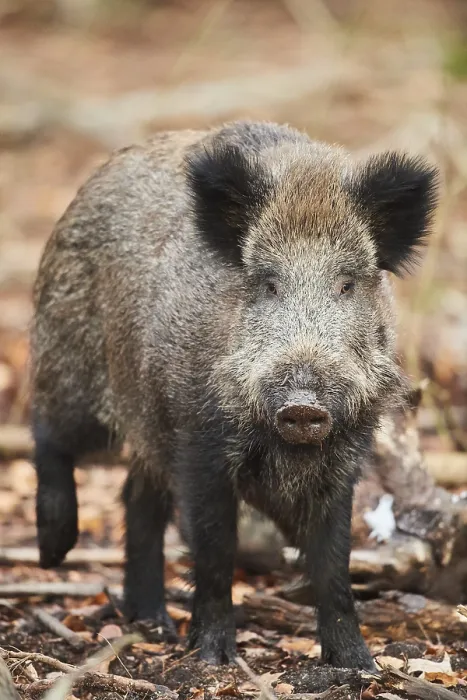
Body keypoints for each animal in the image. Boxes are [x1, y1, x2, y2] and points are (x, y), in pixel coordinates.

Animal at [30, 120, 438, 669]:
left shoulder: (343, 458)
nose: (302, 403)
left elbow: (334, 561)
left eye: (347, 283)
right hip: (71, 363)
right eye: (267, 283)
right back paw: (54, 552)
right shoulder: (201, 443)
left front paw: (357, 665)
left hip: (150, 422)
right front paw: (211, 657)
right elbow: (215, 548)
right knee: (48, 431)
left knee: (137, 496)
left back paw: (152, 624)